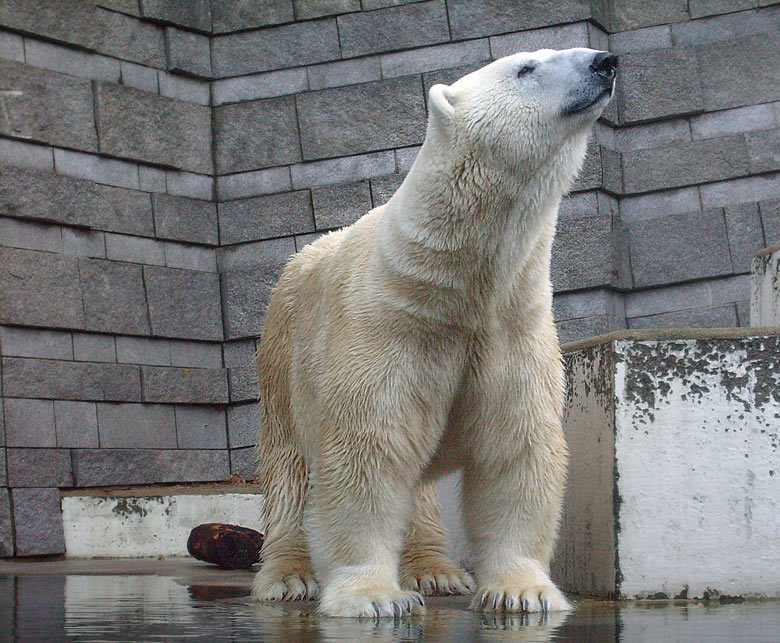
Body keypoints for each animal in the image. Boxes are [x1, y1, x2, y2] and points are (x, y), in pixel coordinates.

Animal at [253, 46, 620, 620]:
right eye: (526, 68)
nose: (604, 62)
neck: (453, 287)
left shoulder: (511, 328)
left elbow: (516, 450)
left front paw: (524, 591)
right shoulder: (388, 329)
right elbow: (367, 454)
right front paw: (374, 598)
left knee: (421, 490)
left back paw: (437, 570)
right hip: (282, 358)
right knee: (288, 469)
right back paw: (290, 575)